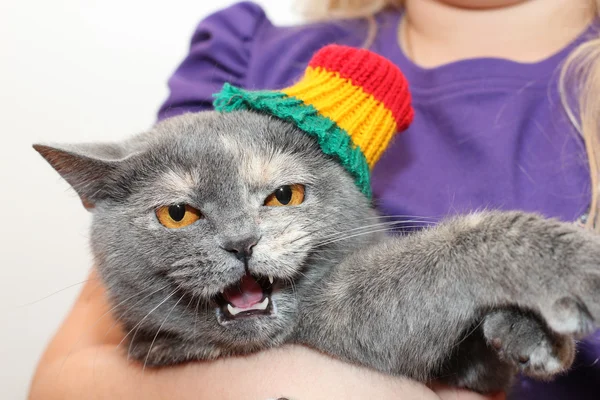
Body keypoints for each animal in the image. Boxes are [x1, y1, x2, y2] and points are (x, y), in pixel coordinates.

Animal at [35, 110, 600, 394]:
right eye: (178, 214)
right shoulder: (341, 319)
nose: (242, 242)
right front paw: (573, 264)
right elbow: (436, 259)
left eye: (285, 196)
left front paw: (528, 334)